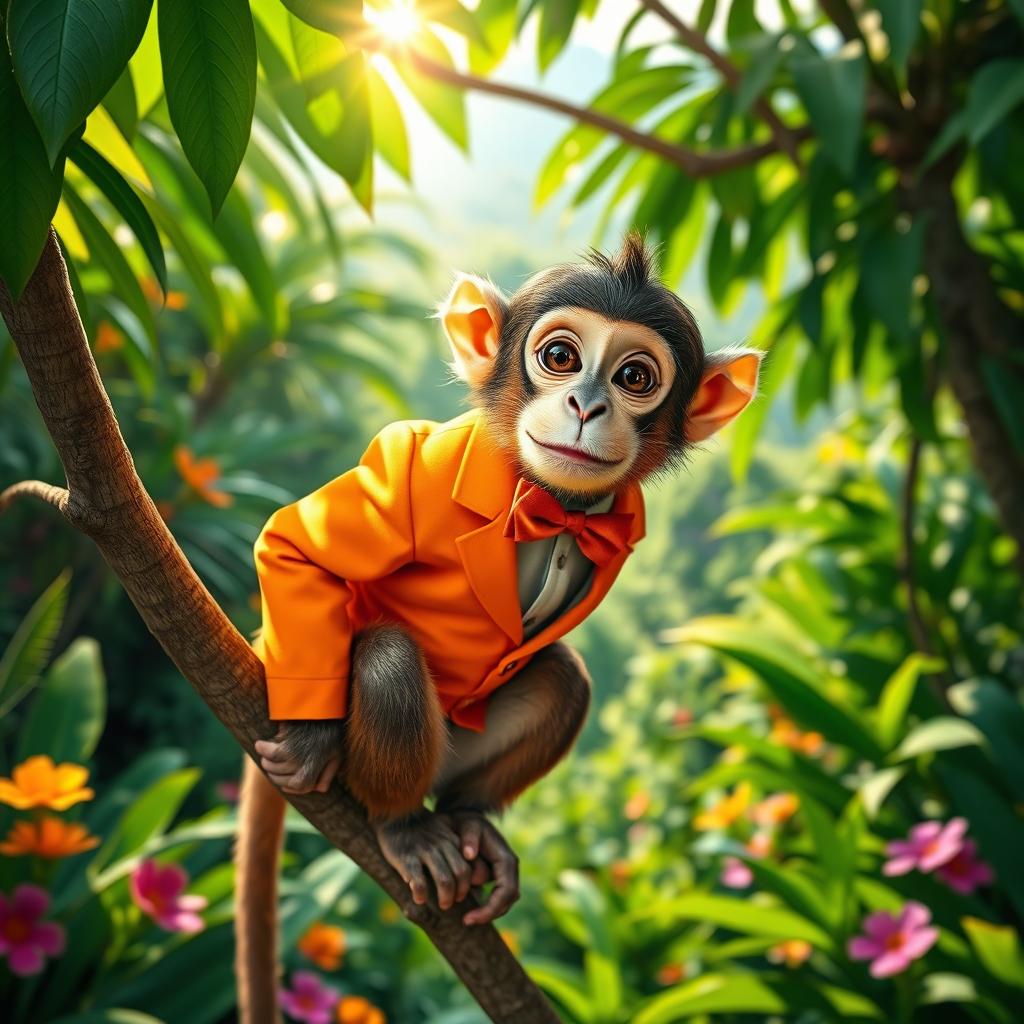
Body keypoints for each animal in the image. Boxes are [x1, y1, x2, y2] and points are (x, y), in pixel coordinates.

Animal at [235, 231, 761, 1022]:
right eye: (561, 357)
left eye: (635, 375)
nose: (585, 404)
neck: (543, 503)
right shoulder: (414, 471)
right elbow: (300, 547)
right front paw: (310, 739)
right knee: (387, 660)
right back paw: (403, 827)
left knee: (562, 679)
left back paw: (470, 821)